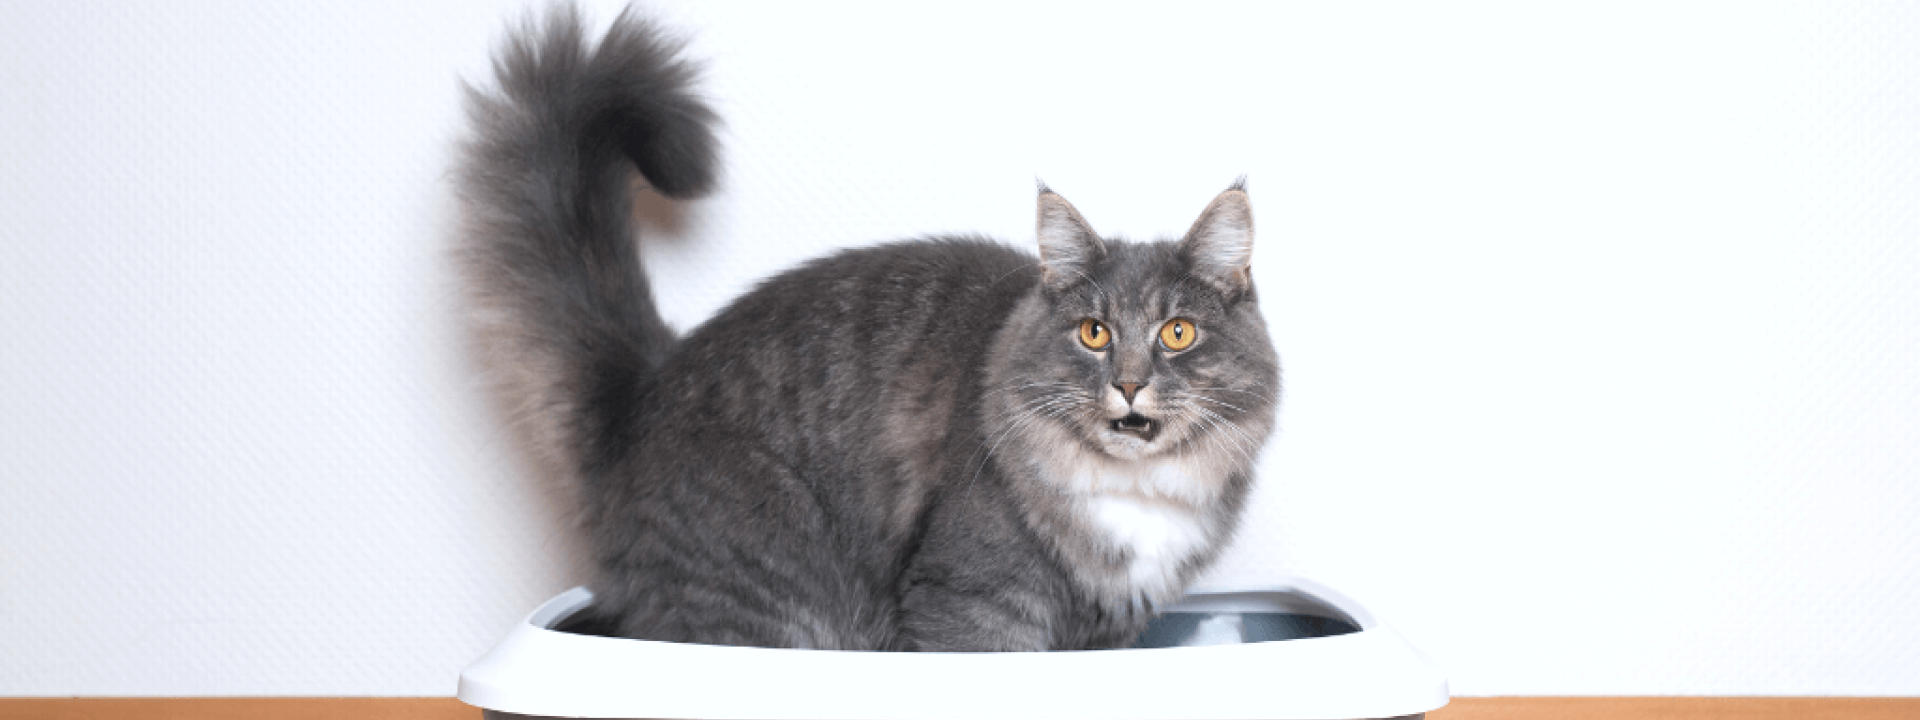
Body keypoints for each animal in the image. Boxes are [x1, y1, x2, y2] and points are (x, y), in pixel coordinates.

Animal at [456, 5, 1282, 652]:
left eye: (1178, 333)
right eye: (1095, 334)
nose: (1130, 384)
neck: (1134, 496)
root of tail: (642, 392)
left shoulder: (1108, 629)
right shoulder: (972, 600)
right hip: (760, 597)